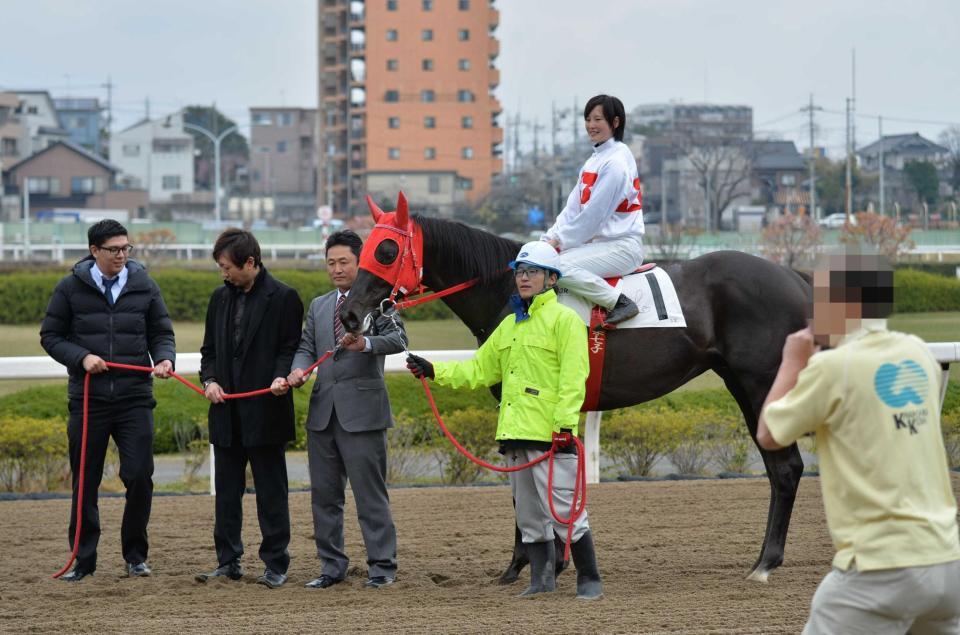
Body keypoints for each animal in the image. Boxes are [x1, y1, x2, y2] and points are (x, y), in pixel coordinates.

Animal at [342, 195, 812, 588]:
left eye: (386, 251)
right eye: (363, 250)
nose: (348, 313)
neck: (513, 297)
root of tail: (792, 274)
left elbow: (527, 483)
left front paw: (526, 564)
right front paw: (554, 559)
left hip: (760, 383)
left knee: (786, 468)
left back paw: (765, 563)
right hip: (741, 383)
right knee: (778, 469)